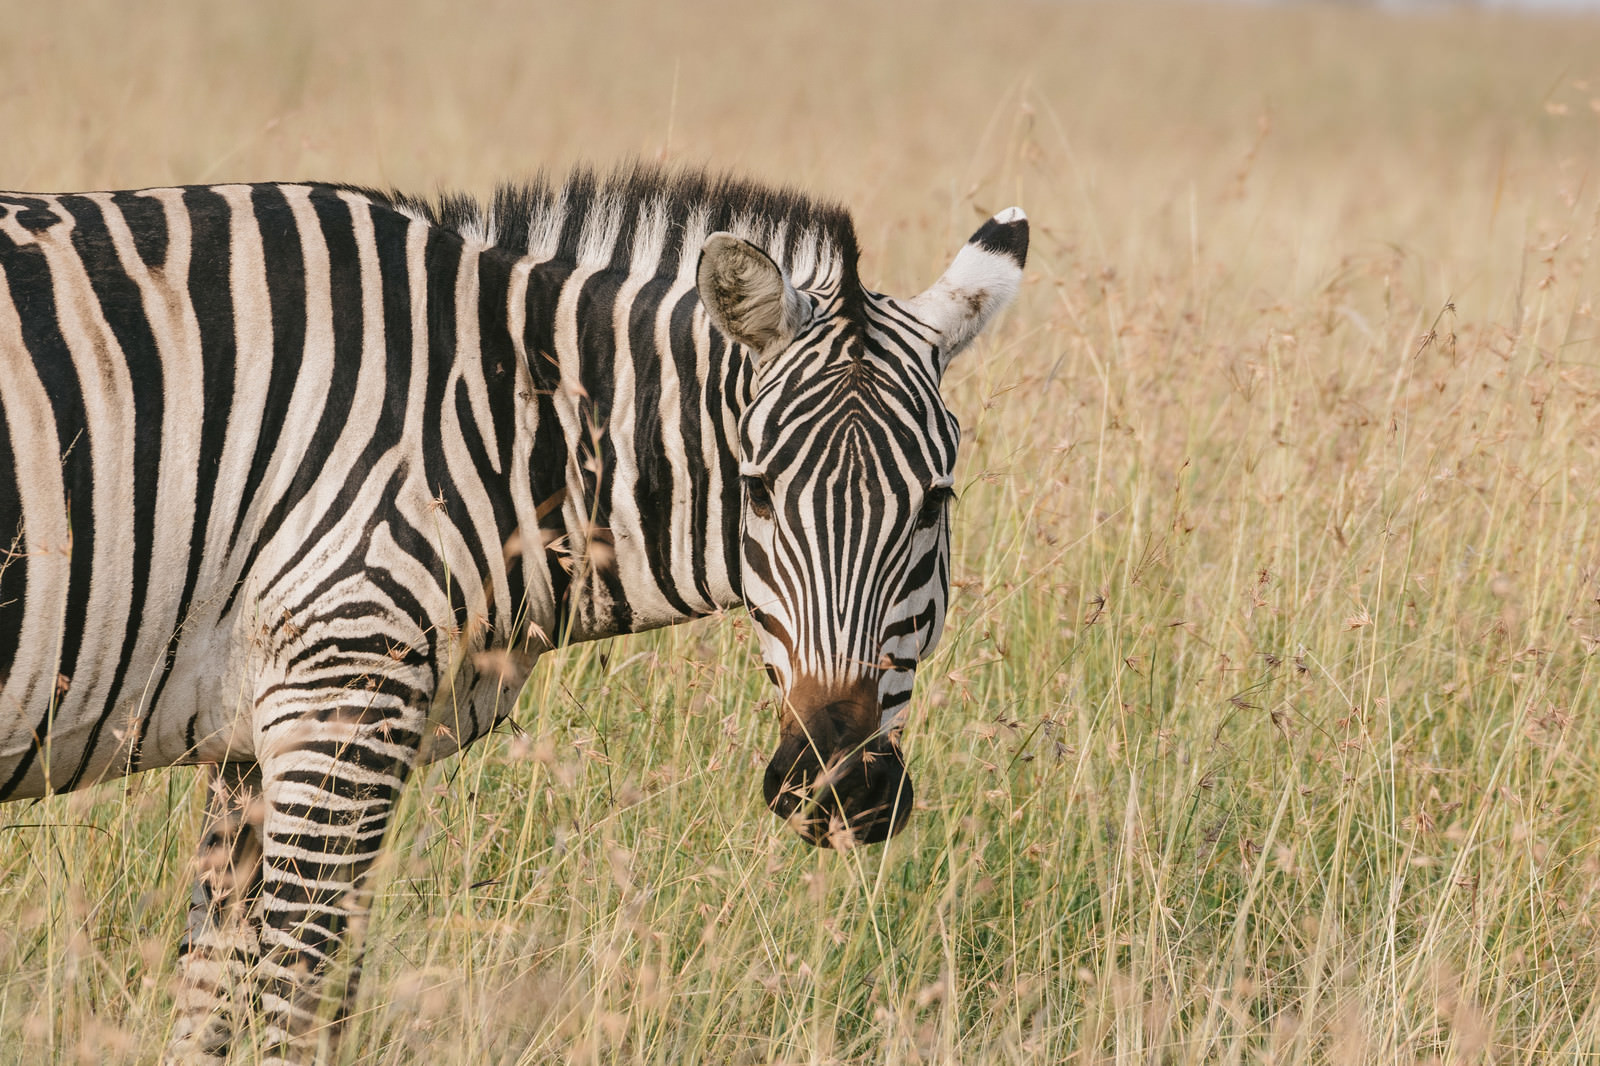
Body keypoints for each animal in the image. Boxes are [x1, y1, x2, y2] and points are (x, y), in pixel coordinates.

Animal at [0, 166, 1024, 1056]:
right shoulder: (343, 690)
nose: (839, 785)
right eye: (760, 492)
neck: (498, 424)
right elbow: (296, 996)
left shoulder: (257, 735)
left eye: (935, 504)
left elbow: (212, 994)